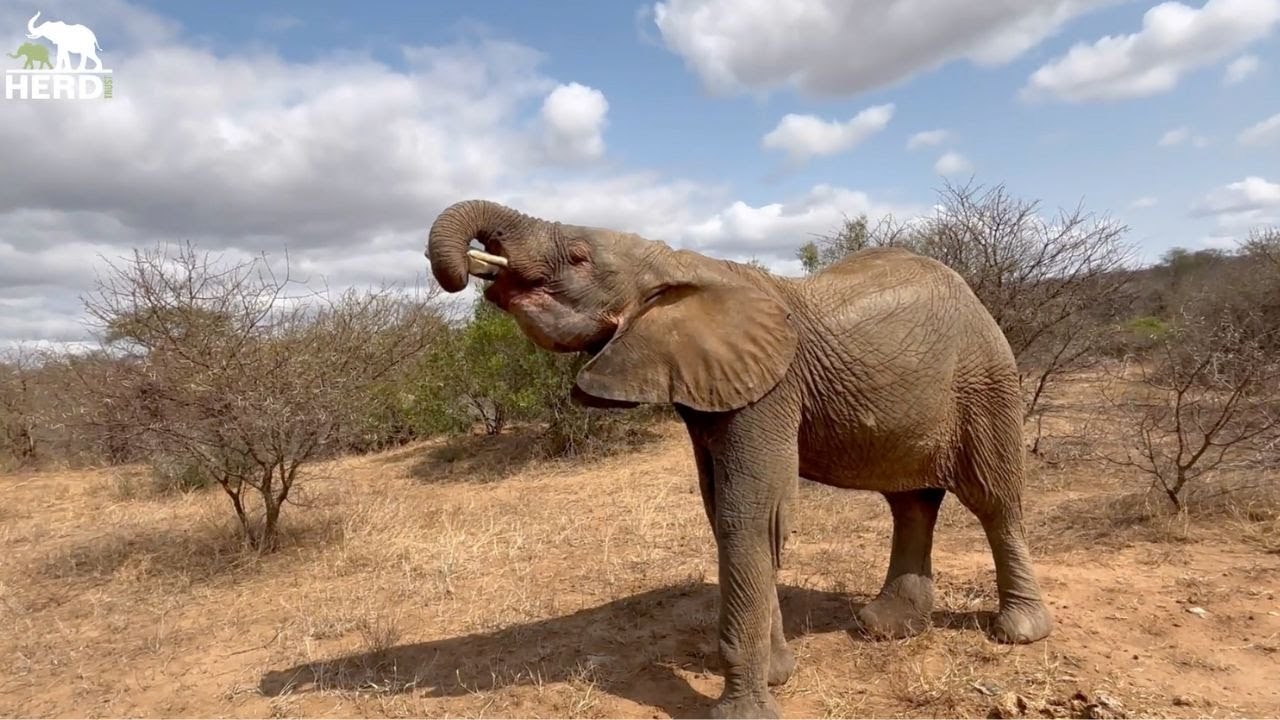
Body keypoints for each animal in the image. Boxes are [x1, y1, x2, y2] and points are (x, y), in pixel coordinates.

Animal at [424, 199, 1054, 718]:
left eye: (578, 257)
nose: (467, 270)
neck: (675, 261)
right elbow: (728, 514)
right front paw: (777, 674)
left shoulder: (770, 388)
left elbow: (748, 515)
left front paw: (746, 707)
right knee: (911, 501)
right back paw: (885, 628)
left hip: (986, 380)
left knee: (995, 500)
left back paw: (1020, 632)